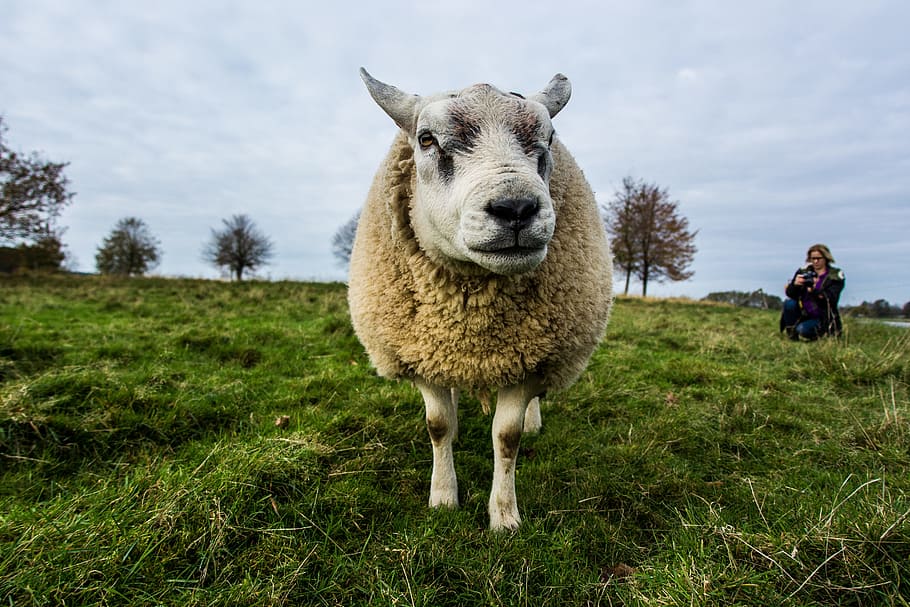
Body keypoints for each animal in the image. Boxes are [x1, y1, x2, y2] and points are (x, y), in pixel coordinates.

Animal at [348, 68, 613, 531]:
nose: (516, 208)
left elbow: (506, 438)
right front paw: (443, 498)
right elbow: (438, 425)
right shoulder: (422, 351)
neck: (471, 315)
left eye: (549, 137)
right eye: (426, 139)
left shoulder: (529, 359)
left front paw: (504, 517)